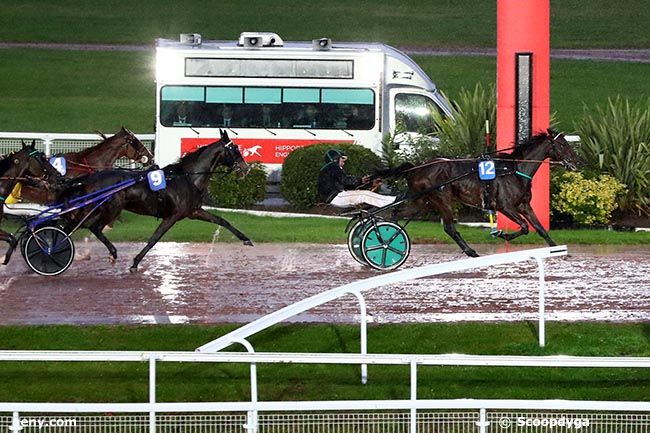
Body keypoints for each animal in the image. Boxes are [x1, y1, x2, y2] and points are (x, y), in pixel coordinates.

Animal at [57, 129, 252, 270]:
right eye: (235, 149)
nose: (246, 169)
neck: (187, 178)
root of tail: (91, 177)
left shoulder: (194, 211)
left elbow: (222, 220)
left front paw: (246, 239)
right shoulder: (173, 216)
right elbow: (154, 238)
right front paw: (135, 262)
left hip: (94, 208)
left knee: (73, 226)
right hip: (111, 208)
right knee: (94, 227)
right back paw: (111, 253)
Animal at [388, 129, 580, 256]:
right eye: (562, 145)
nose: (578, 162)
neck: (515, 170)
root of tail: (415, 169)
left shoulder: (523, 205)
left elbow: (540, 229)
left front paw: (557, 249)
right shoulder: (505, 206)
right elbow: (525, 227)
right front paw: (502, 234)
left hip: (424, 202)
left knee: (397, 213)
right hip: (442, 200)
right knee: (450, 228)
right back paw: (470, 251)